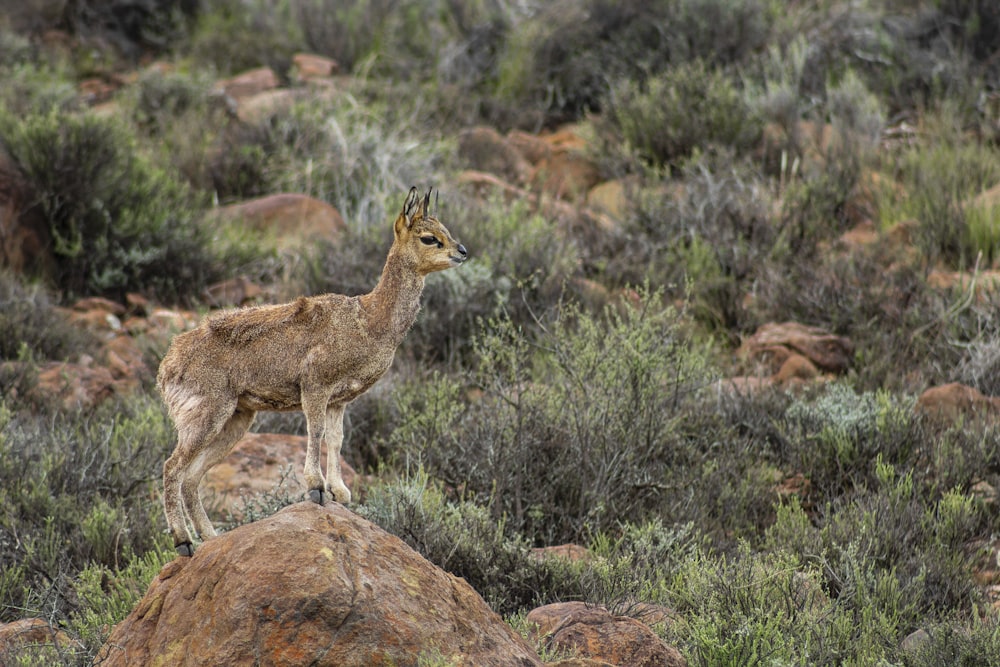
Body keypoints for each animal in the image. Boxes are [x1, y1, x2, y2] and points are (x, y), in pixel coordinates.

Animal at [157, 185, 468, 556]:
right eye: (429, 237)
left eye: (445, 229)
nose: (462, 252)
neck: (370, 320)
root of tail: (167, 366)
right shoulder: (316, 385)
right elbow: (315, 431)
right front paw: (316, 488)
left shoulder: (340, 399)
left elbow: (336, 439)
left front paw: (340, 492)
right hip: (206, 415)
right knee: (172, 468)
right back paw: (183, 541)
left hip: (236, 420)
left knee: (191, 478)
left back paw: (212, 538)